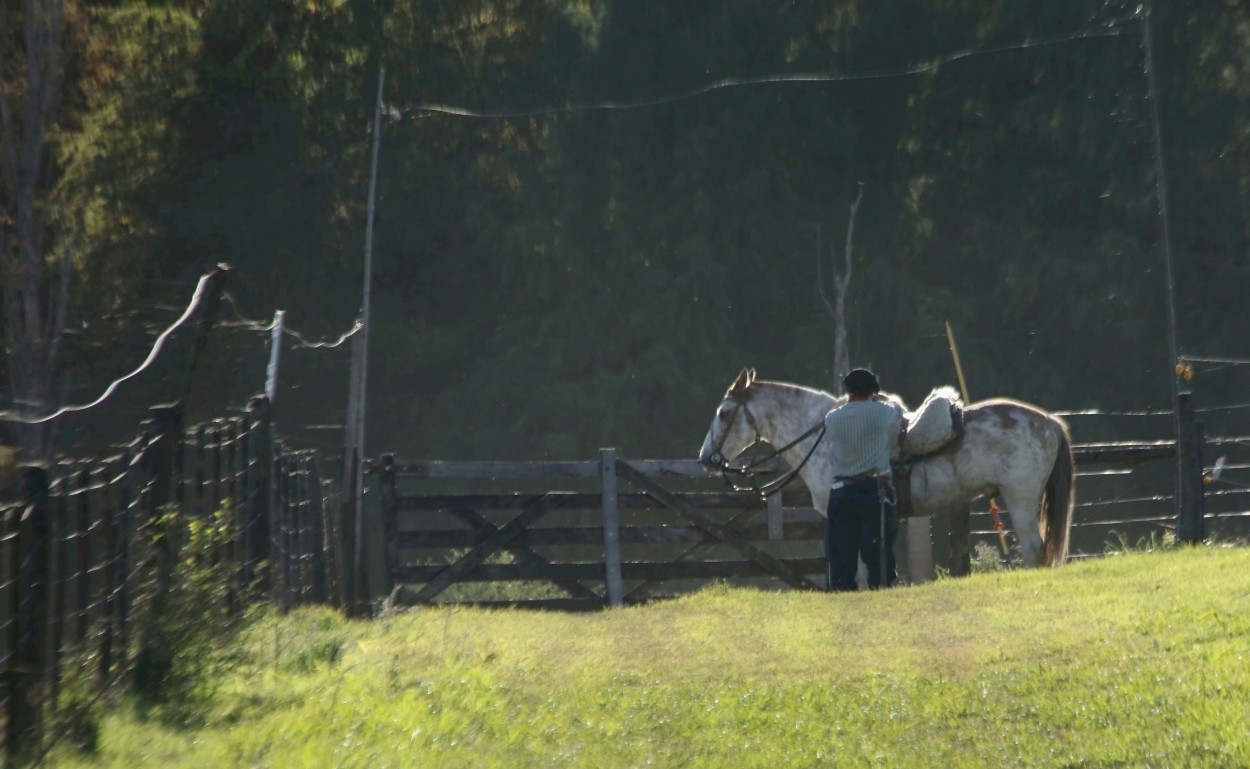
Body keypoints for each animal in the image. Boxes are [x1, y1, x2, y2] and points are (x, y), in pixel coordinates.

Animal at [695, 367, 1075, 565]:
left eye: (724, 413)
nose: (705, 459)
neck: (825, 435)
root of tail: (1050, 423)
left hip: (1020, 500)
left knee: (1034, 550)